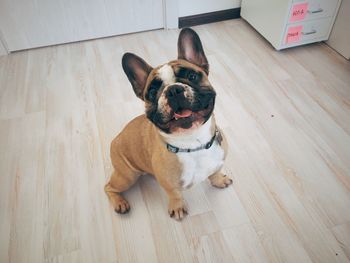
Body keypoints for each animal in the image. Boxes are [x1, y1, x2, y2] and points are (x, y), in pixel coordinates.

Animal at [104, 27, 232, 221]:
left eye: (192, 76)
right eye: (152, 91)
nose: (173, 90)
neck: (193, 143)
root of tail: (117, 138)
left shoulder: (218, 161)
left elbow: (215, 172)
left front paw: (219, 180)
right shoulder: (168, 183)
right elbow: (175, 194)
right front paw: (178, 207)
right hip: (127, 175)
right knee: (109, 187)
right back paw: (120, 203)